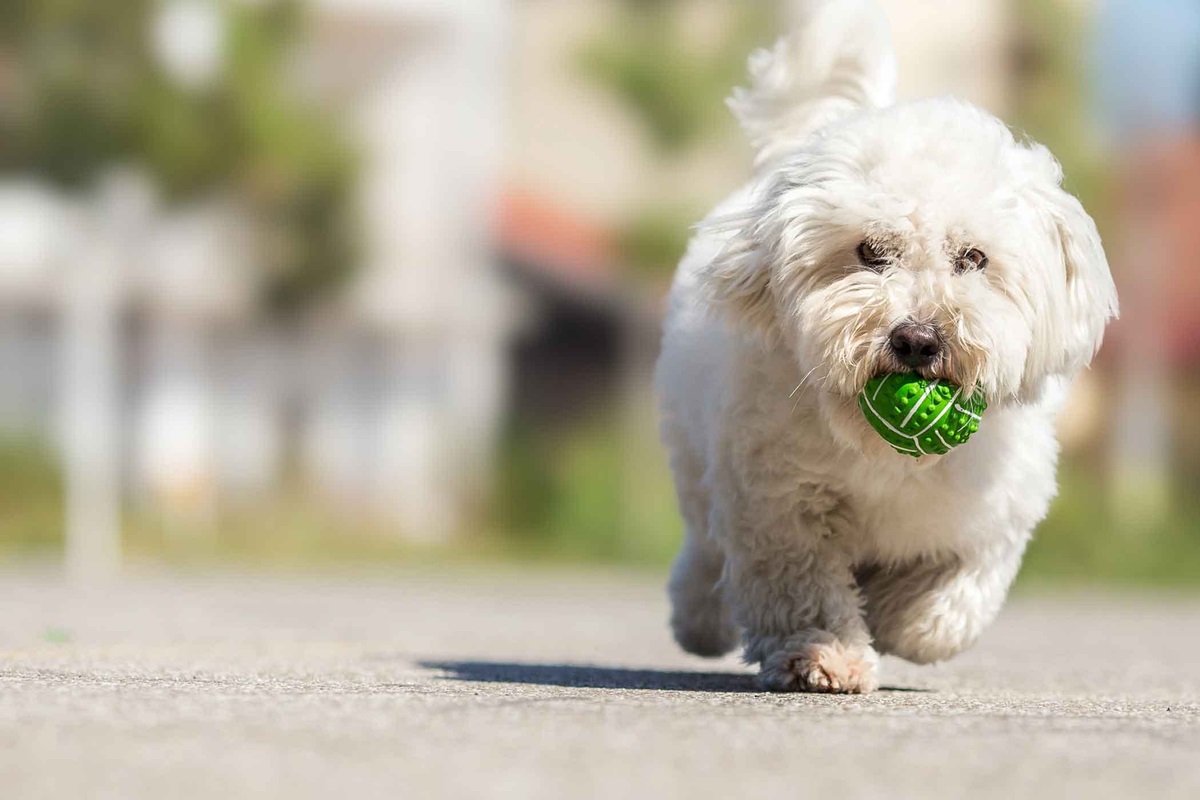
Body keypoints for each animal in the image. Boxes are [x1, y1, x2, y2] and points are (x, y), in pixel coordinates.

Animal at [657, 0, 1113, 695]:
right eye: (870, 252)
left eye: (973, 258)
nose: (918, 338)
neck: (886, 459)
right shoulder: (777, 502)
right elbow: (801, 586)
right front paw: (824, 653)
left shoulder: (996, 513)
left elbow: (945, 609)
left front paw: (899, 617)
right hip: (696, 455)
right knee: (705, 548)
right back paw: (699, 621)